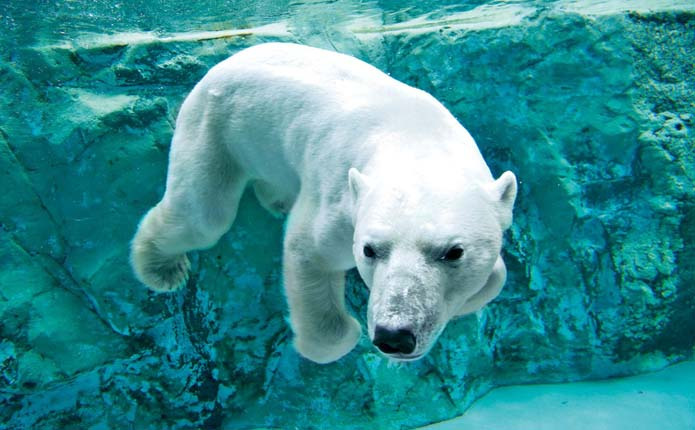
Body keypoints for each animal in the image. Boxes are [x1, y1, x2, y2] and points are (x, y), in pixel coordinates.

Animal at [130, 43, 517, 364]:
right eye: (369, 250)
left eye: (454, 252)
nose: (394, 336)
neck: (418, 145)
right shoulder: (340, 204)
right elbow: (310, 253)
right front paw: (335, 340)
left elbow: (497, 274)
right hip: (216, 127)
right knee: (204, 216)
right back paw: (162, 268)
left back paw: (277, 199)